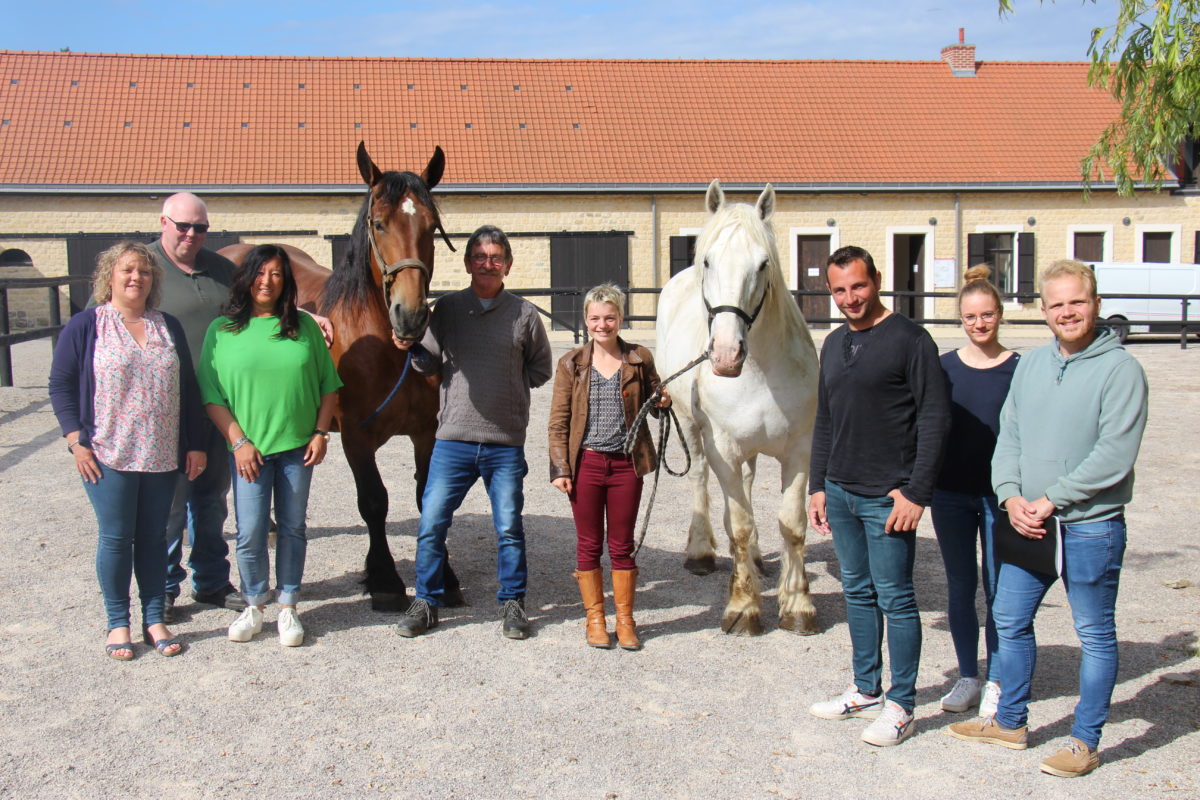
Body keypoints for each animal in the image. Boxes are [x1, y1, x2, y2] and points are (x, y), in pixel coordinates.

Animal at [220, 142, 458, 614]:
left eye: (432, 226)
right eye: (379, 223)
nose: (410, 316)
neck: (386, 347)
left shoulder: (425, 431)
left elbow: (427, 497)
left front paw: (443, 574)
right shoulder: (355, 436)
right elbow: (374, 501)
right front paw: (384, 579)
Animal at [662, 178, 820, 633]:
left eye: (763, 263)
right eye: (708, 261)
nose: (726, 355)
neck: (760, 370)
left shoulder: (799, 449)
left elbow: (792, 524)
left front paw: (797, 603)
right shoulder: (725, 449)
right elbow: (739, 525)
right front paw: (744, 607)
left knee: (748, 488)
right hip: (691, 429)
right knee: (701, 480)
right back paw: (700, 553)